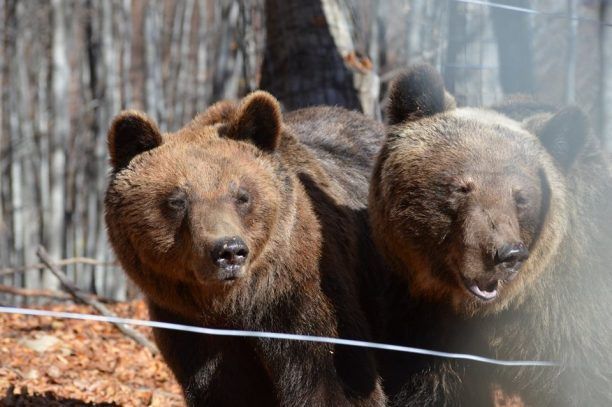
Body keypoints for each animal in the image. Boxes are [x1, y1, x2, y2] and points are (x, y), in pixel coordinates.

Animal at [103, 91, 384, 406]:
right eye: (177, 200)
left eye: (241, 195)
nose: (229, 251)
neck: (239, 303)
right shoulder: (191, 328)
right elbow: (227, 389)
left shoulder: (303, 301)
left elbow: (335, 381)